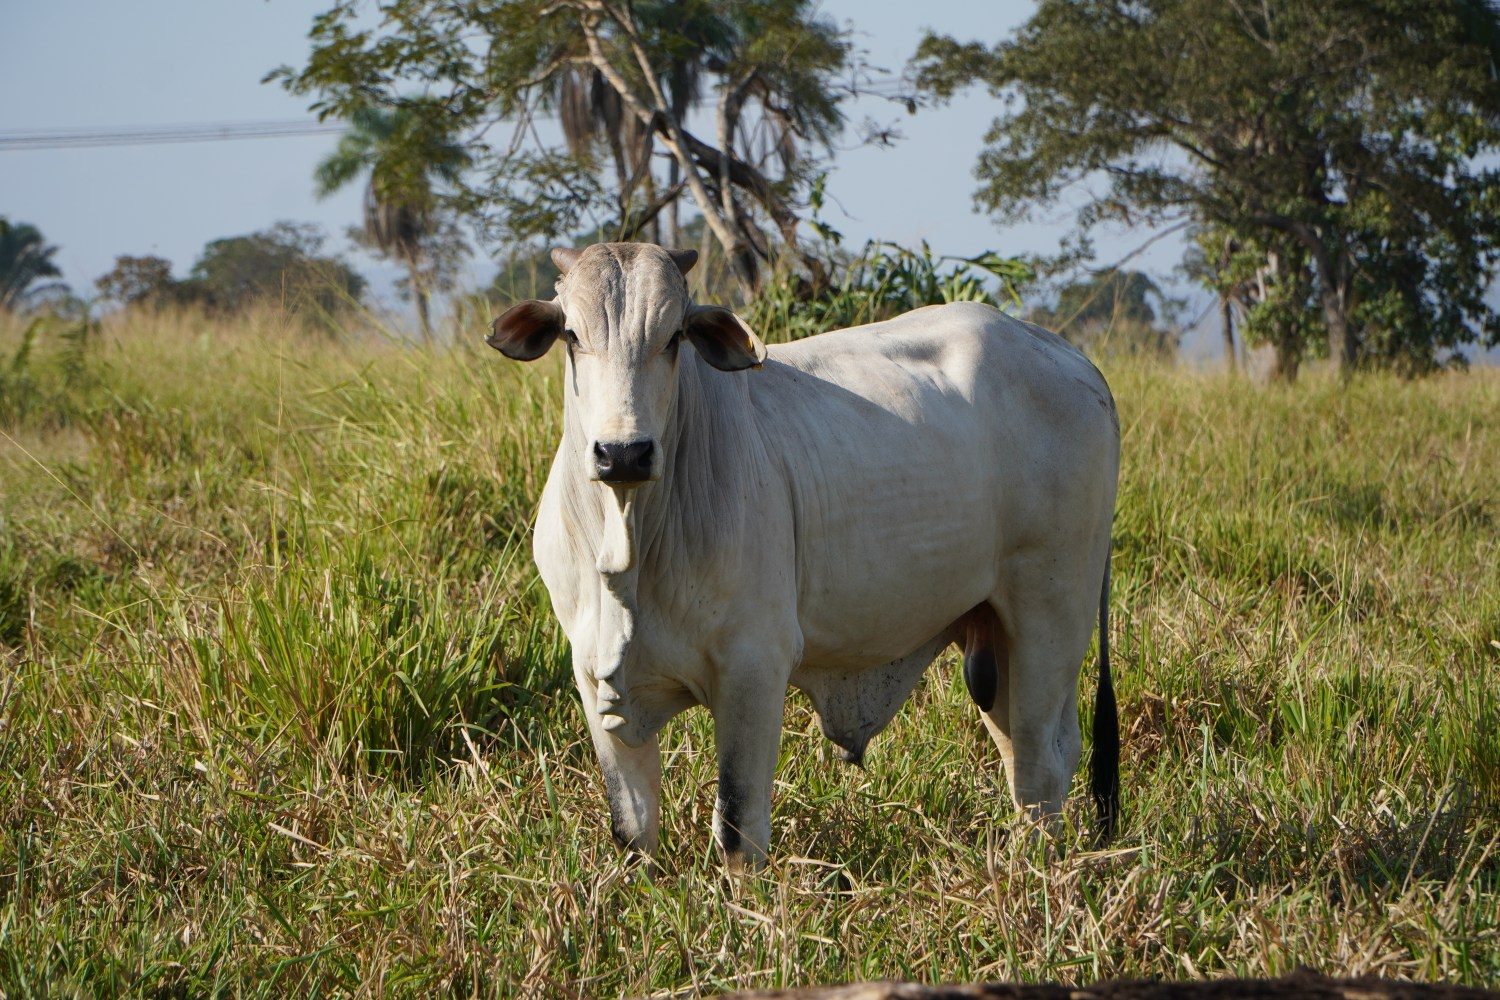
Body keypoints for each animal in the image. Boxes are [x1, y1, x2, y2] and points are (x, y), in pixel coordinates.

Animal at [486, 242, 1122, 869]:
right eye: (571, 335)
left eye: (673, 337)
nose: (624, 453)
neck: (630, 544)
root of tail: (1074, 359)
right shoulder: (594, 676)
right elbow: (633, 829)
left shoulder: (754, 668)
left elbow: (738, 828)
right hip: (995, 637)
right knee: (1031, 757)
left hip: (1051, 617)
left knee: (1042, 765)